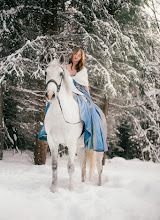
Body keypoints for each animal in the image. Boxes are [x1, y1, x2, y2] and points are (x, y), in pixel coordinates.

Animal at [44, 55, 104, 192]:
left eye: (61, 73)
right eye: (46, 72)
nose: (50, 95)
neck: (60, 113)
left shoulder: (70, 143)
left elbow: (70, 167)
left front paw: (71, 189)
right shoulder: (52, 142)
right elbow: (54, 165)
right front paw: (53, 188)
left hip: (99, 150)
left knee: (99, 167)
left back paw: (99, 185)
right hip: (81, 148)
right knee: (83, 166)